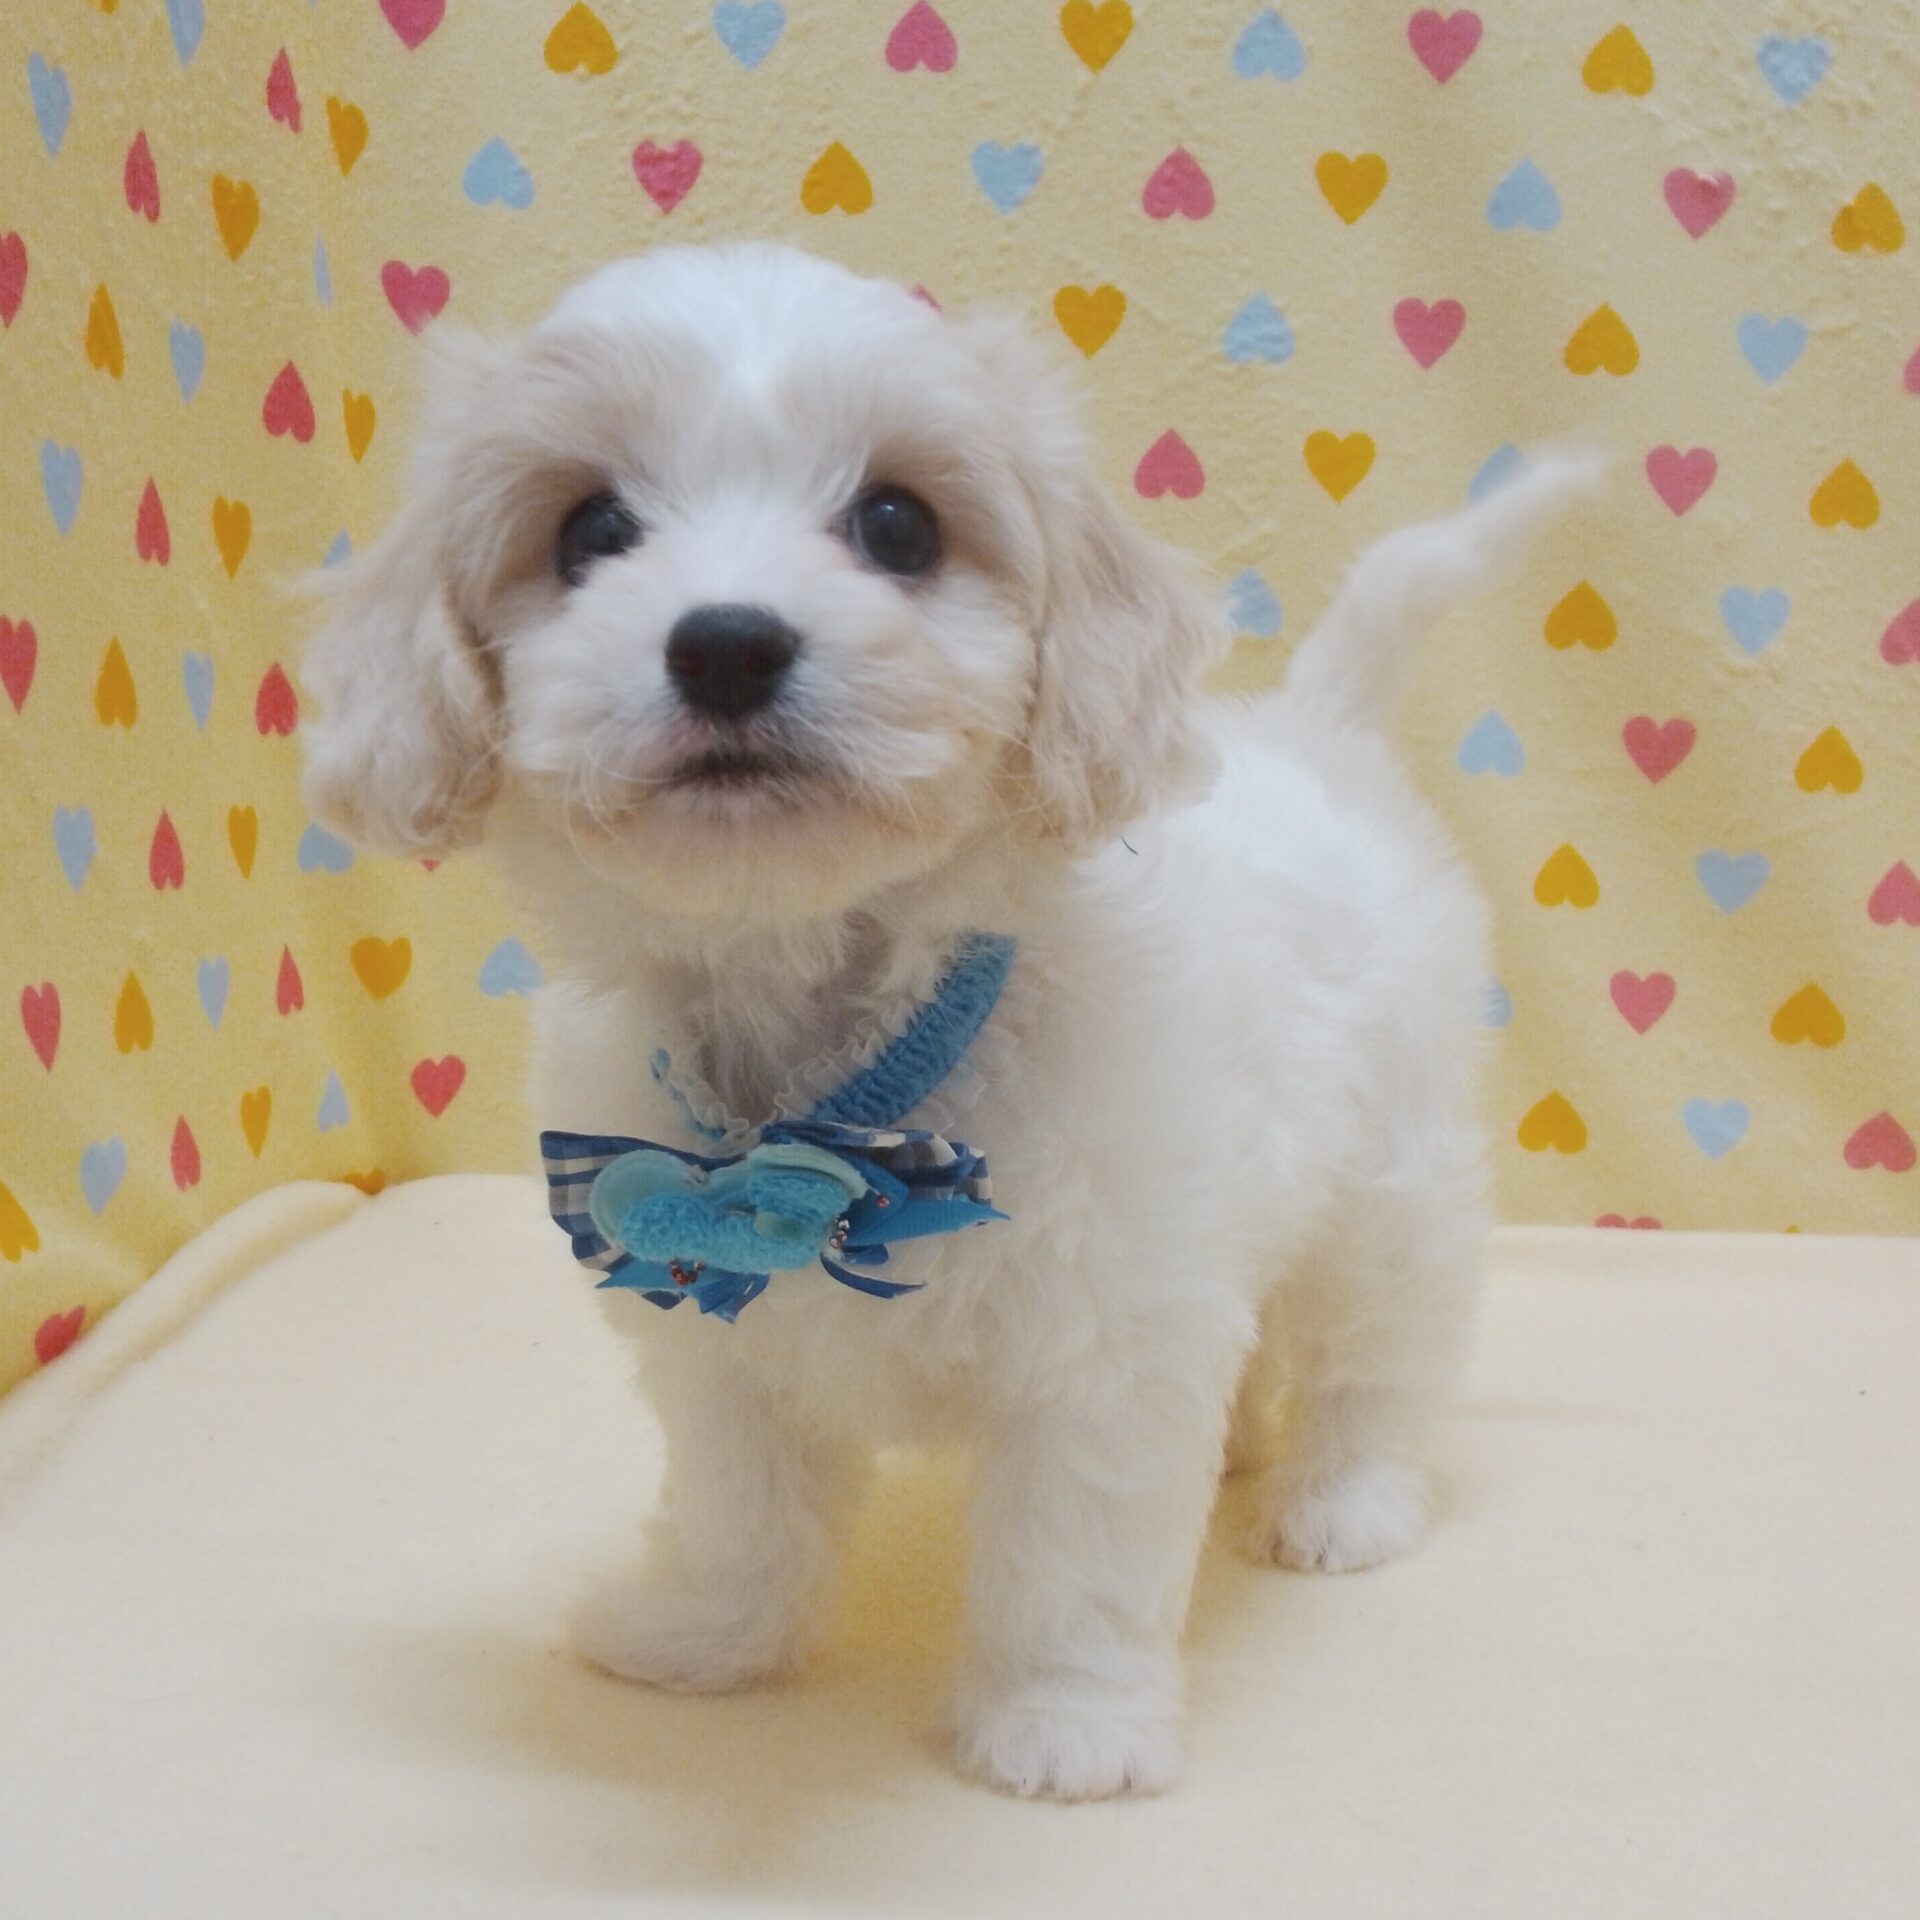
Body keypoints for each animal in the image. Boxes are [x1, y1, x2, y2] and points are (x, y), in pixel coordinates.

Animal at [302, 241, 1587, 1801]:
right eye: (589, 528)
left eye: (899, 524)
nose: (725, 646)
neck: (838, 1088)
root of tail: (1317, 729)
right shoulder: (713, 1330)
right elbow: (741, 1505)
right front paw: (707, 1639)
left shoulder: (1101, 1345)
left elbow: (1073, 1558)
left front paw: (1065, 1723)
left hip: (1392, 1175)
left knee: (1377, 1345)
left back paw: (1347, 1497)